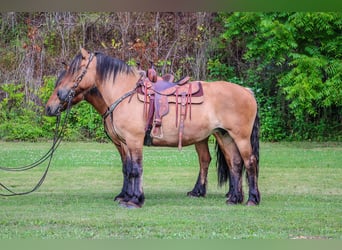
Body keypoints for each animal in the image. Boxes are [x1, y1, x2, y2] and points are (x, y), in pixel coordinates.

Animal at [44, 47, 260, 208]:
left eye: (73, 71)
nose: (49, 107)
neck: (124, 94)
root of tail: (247, 91)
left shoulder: (134, 140)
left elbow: (135, 169)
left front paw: (135, 200)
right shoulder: (125, 143)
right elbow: (128, 168)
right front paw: (126, 196)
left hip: (240, 137)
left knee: (249, 162)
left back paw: (252, 199)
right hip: (225, 136)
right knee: (234, 163)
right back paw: (233, 198)